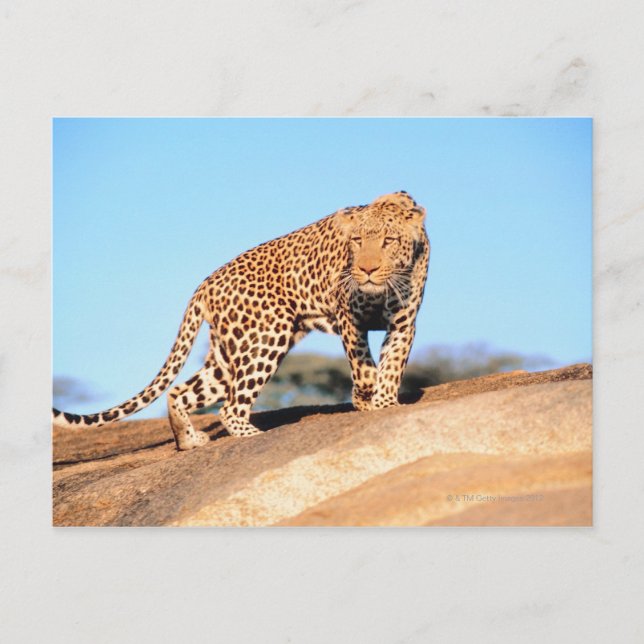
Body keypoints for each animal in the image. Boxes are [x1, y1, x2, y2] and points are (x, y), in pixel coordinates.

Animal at [53, 191, 430, 450]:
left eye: (388, 240)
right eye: (356, 241)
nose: (366, 269)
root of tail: (205, 284)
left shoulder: (403, 323)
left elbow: (393, 364)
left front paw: (385, 403)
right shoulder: (350, 318)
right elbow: (363, 364)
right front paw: (366, 395)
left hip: (227, 355)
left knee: (179, 392)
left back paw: (189, 441)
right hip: (267, 336)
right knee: (231, 407)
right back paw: (251, 434)